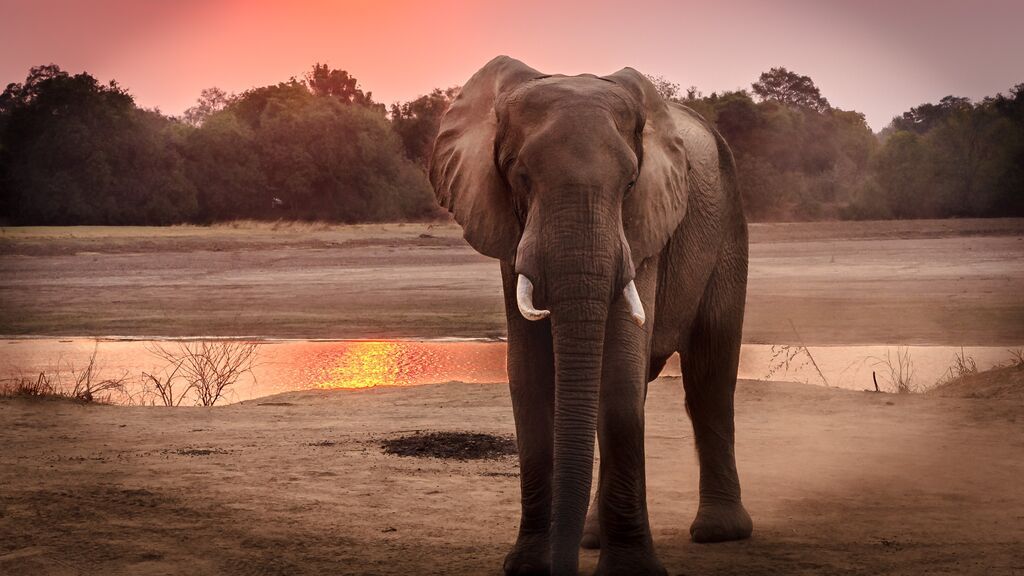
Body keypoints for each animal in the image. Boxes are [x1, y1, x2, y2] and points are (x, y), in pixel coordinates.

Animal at [430, 54, 753, 573]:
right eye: (519, 177)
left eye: (630, 184)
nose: (559, 567)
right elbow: (530, 376)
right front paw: (529, 566)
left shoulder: (644, 227)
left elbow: (619, 374)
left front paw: (631, 571)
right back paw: (592, 538)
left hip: (728, 225)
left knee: (710, 375)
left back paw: (718, 533)